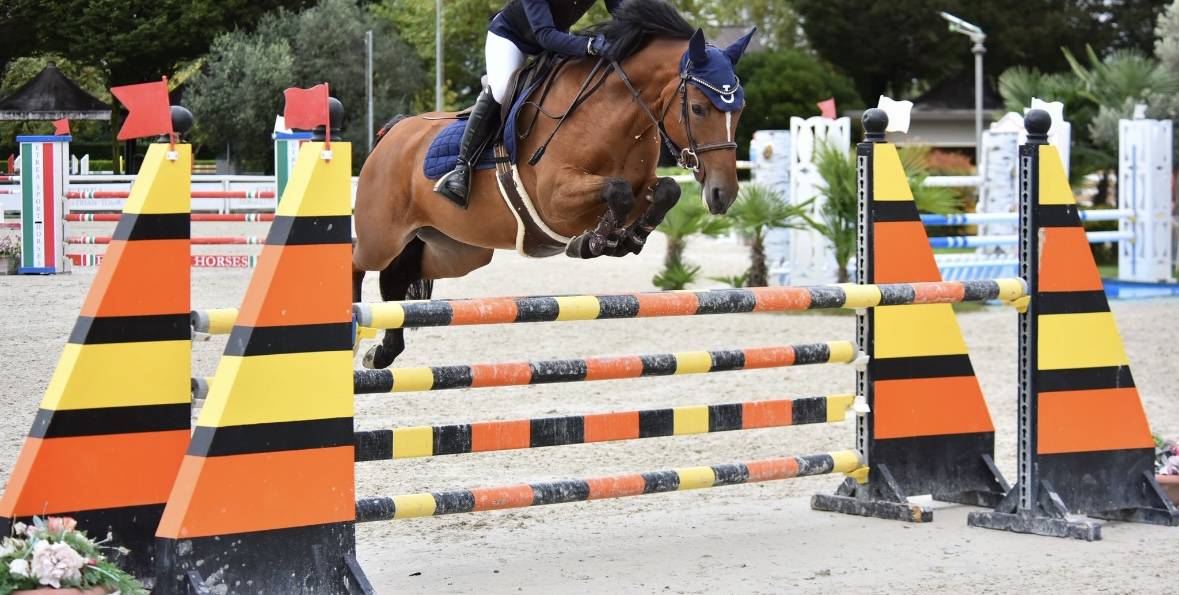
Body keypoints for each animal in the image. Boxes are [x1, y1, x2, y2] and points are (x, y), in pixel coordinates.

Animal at [353, 0, 755, 369]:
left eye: (740, 110)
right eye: (699, 108)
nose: (723, 194)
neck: (614, 114)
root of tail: (392, 133)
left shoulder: (643, 183)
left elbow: (666, 191)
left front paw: (630, 238)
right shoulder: (554, 198)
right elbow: (618, 192)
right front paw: (594, 242)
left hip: (459, 250)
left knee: (401, 277)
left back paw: (383, 351)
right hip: (383, 237)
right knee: (359, 261)